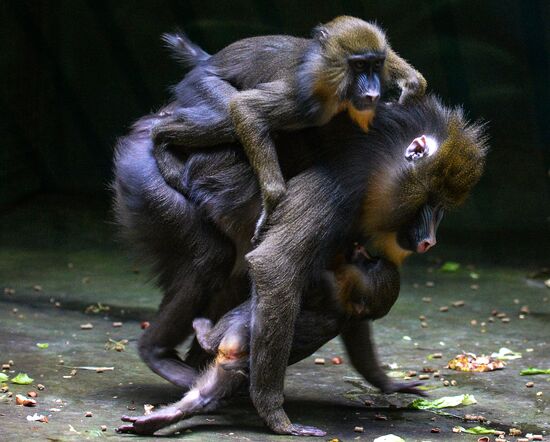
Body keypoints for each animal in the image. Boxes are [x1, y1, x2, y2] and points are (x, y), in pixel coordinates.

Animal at [118, 247, 422, 436]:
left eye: (370, 263)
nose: (365, 253)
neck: (346, 302)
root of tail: (239, 361)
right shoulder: (350, 316)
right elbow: (361, 351)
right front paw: (392, 384)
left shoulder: (335, 291)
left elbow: (305, 280)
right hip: (234, 368)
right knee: (205, 397)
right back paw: (159, 419)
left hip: (236, 337)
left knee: (242, 318)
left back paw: (204, 334)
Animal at [153, 15, 430, 240]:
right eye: (359, 66)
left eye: (376, 65)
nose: (372, 93)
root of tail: (207, 61)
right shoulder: (306, 99)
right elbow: (245, 108)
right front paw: (272, 207)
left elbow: (413, 80)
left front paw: (407, 94)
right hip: (201, 84)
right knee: (225, 118)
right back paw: (160, 135)